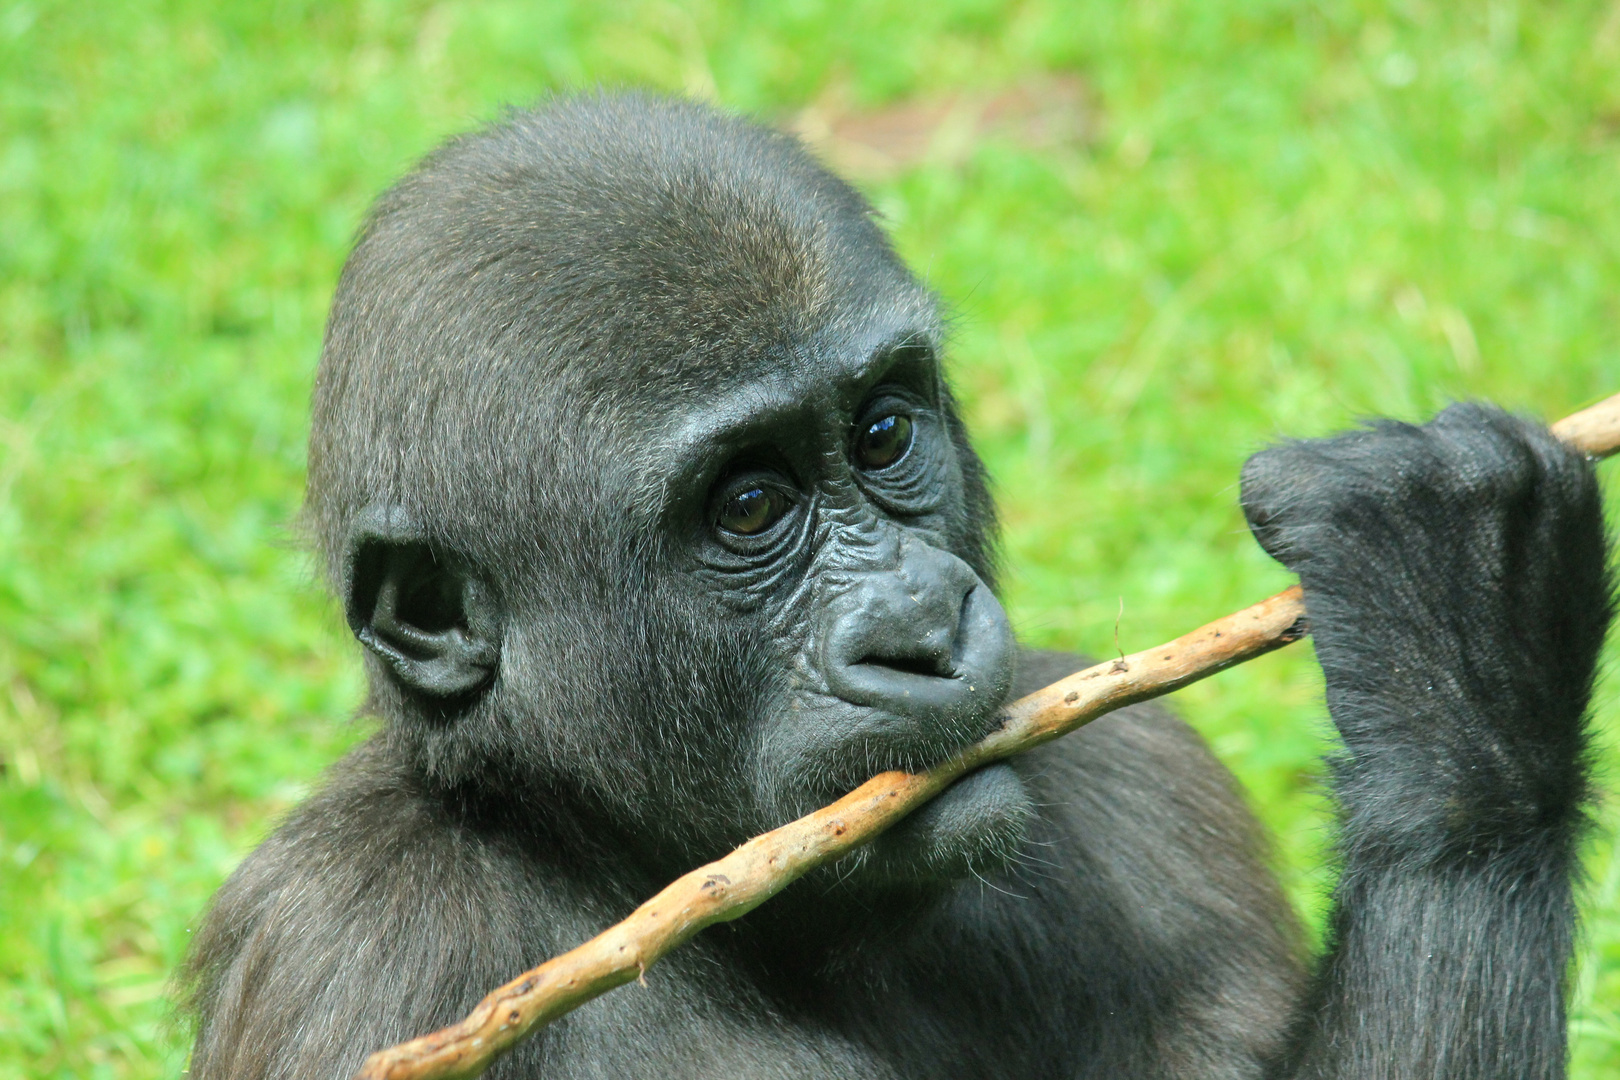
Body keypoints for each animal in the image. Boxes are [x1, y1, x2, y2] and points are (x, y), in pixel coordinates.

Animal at [180, 95, 1607, 1080]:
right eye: (749, 508)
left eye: (879, 435)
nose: (924, 628)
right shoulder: (359, 955)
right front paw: (1459, 658)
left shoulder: (1143, 780)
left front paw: (1469, 695)